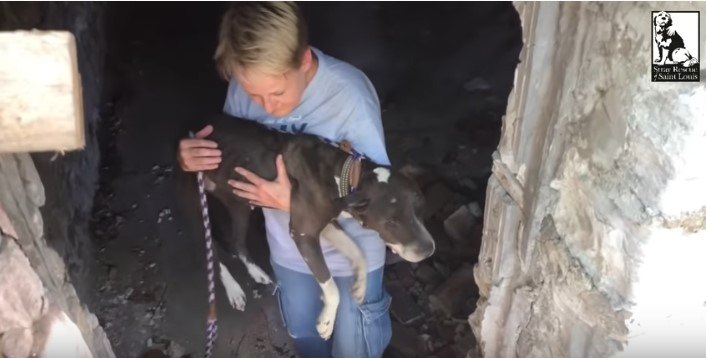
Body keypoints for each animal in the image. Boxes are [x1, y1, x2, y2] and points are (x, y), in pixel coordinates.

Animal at [199, 113, 434, 340]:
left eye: (421, 207)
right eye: (391, 222)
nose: (429, 250)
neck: (344, 175)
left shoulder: (328, 224)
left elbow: (358, 252)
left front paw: (360, 285)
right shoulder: (303, 233)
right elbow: (330, 284)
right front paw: (326, 322)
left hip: (239, 204)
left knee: (237, 243)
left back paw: (256, 273)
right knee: (213, 255)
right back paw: (233, 290)